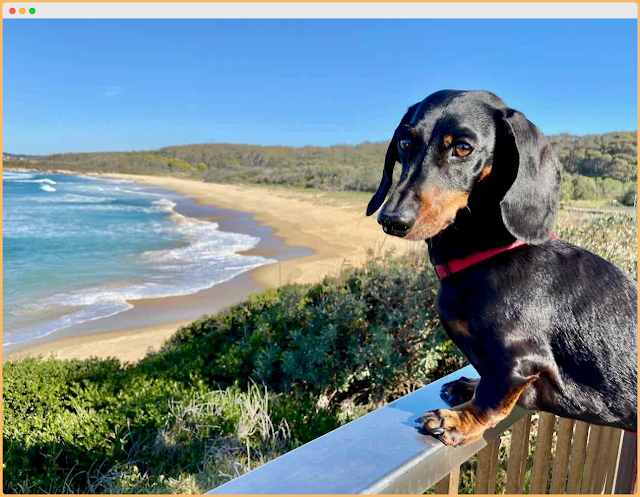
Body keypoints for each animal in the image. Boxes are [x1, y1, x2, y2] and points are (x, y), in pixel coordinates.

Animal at [368, 89, 636, 446]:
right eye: (405, 142)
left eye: (462, 147)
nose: (392, 219)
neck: (490, 254)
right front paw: (467, 386)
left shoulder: (518, 361)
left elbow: (492, 395)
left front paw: (459, 420)